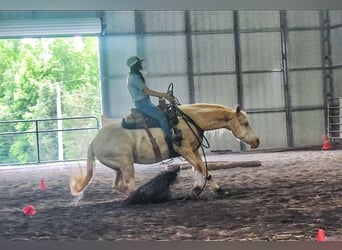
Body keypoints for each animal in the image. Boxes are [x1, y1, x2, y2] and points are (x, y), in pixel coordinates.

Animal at [70, 103, 260, 197]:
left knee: (117, 185)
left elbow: (200, 168)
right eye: (245, 123)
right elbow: (202, 168)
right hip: (126, 163)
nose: (257, 141)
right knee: (128, 185)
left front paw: (199, 188)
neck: (189, 120)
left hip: (118, 167)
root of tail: (94, 141)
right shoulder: (184, 150)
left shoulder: (193, 150)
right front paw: (214, 189)